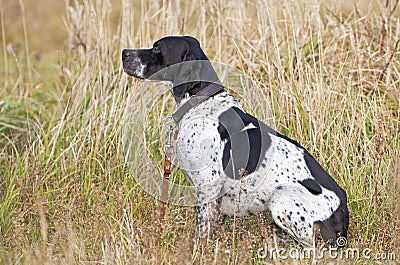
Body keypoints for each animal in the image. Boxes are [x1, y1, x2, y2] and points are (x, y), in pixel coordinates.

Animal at [122, 36, 350, 246]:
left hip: (281, 196)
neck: (202, 101)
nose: (124, 52)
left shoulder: (207, 185)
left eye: (156, 48)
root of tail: (343, 219)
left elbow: (201, 230)